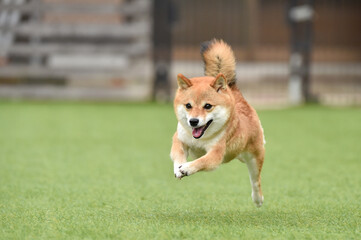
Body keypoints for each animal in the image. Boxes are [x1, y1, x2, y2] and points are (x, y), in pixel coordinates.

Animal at [169, 39, 264, 206]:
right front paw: (178, 168)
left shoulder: (216, 153)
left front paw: (186, 168)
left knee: (255, 181)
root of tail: (235, 93)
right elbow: (178, 154)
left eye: (208, 106)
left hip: (255, 157)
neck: (201, 139)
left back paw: (258, 199)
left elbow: (201, 161)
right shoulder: (179, 139)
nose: (193, 121)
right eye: (188, 105)